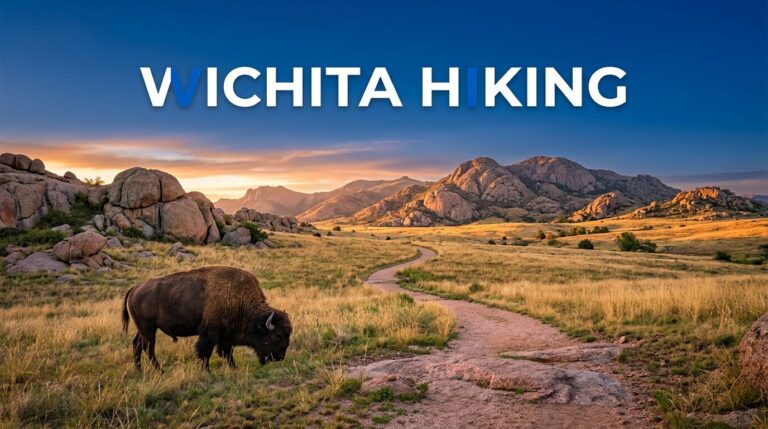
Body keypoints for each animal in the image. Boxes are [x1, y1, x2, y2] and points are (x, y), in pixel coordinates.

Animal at [122, 266, 292, 371]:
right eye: (277, 336)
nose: (280, 357)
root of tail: (135, 288)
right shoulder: (210, 333)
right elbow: (206, 352)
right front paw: (207, 371)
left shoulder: (225, 336)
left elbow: (227, 353)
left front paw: (234, 368)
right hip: (148, 329)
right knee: (148, 348)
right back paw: (160, 371)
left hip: (144, 329)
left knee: (137, 344)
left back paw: (139, 370)